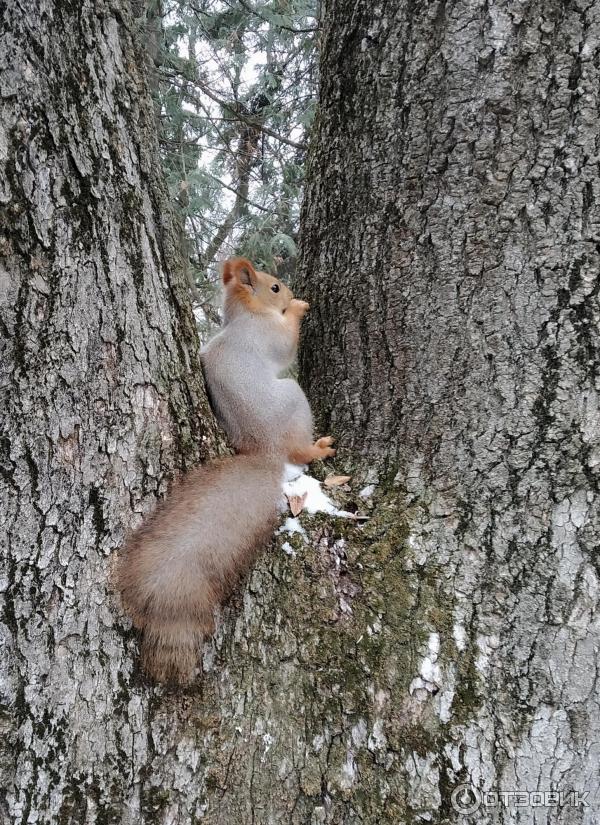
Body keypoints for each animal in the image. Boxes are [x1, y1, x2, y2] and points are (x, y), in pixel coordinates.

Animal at [115, 258, 336, 684]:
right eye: (274, 287)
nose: (290, 291)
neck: (245, 315)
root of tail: (267, 451)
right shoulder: (267, 335)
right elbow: (287, 343)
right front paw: (299, 308)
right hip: (294, 399)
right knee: (300, 444)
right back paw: (318, 447)